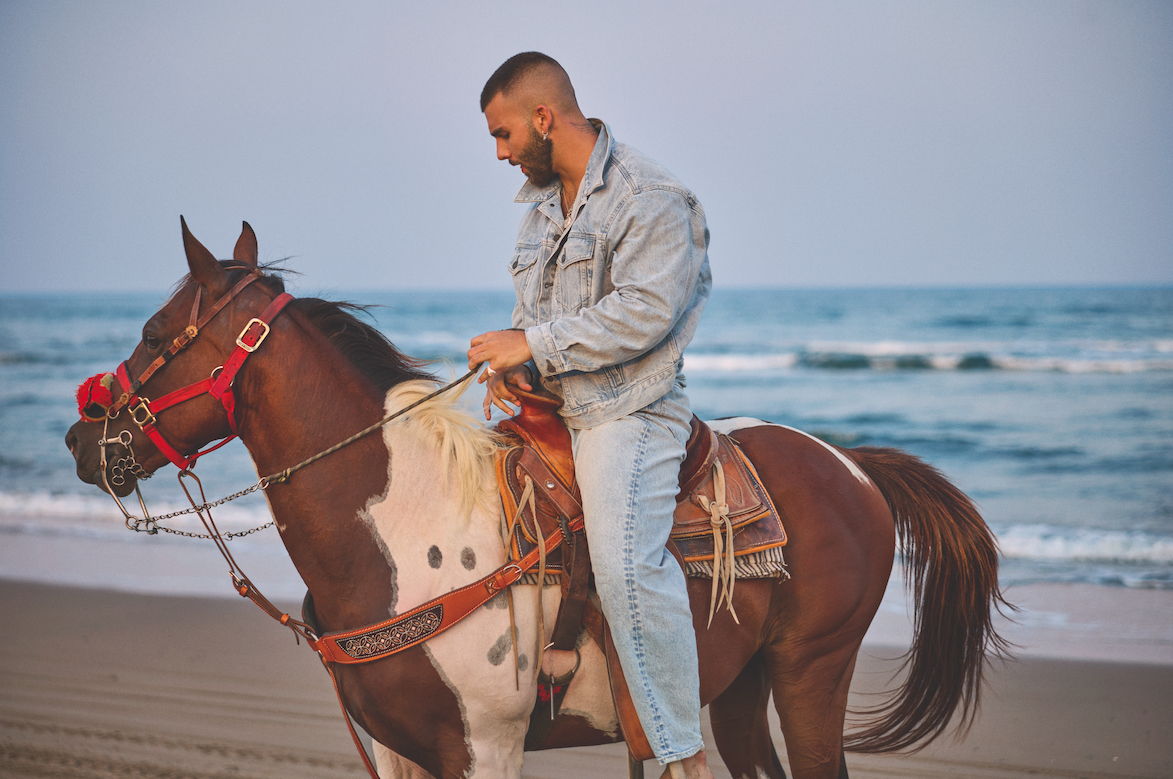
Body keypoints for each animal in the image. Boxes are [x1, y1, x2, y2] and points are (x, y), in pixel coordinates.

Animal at [66, 220, 1008, 779]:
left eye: (155, 332)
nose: (81, 437)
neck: (404, 531)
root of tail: (850, 464)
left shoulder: (486, 747)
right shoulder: (402, 752)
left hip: (811, 671)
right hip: (740, 686)